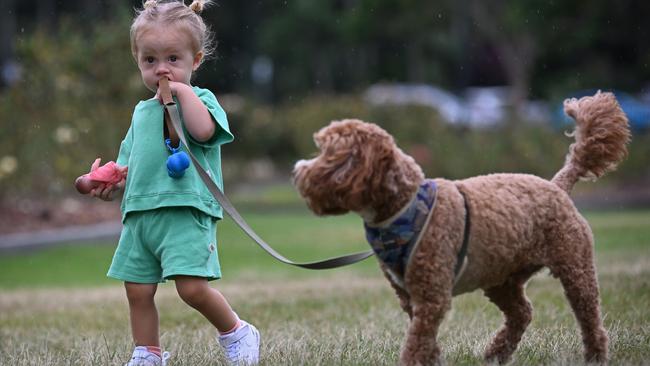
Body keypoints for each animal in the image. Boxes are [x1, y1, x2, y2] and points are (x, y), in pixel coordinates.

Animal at [292, 90, 628, 364]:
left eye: (327, 153)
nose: (296, 172)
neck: (405, 206)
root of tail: (556, 184)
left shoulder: (432, 296)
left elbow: (416, 344)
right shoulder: (413, 298)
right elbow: (425, 342)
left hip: (575, 265)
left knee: (588, 316)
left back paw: (595, 357)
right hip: (502, 277)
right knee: (521, 313)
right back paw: (495, 354)